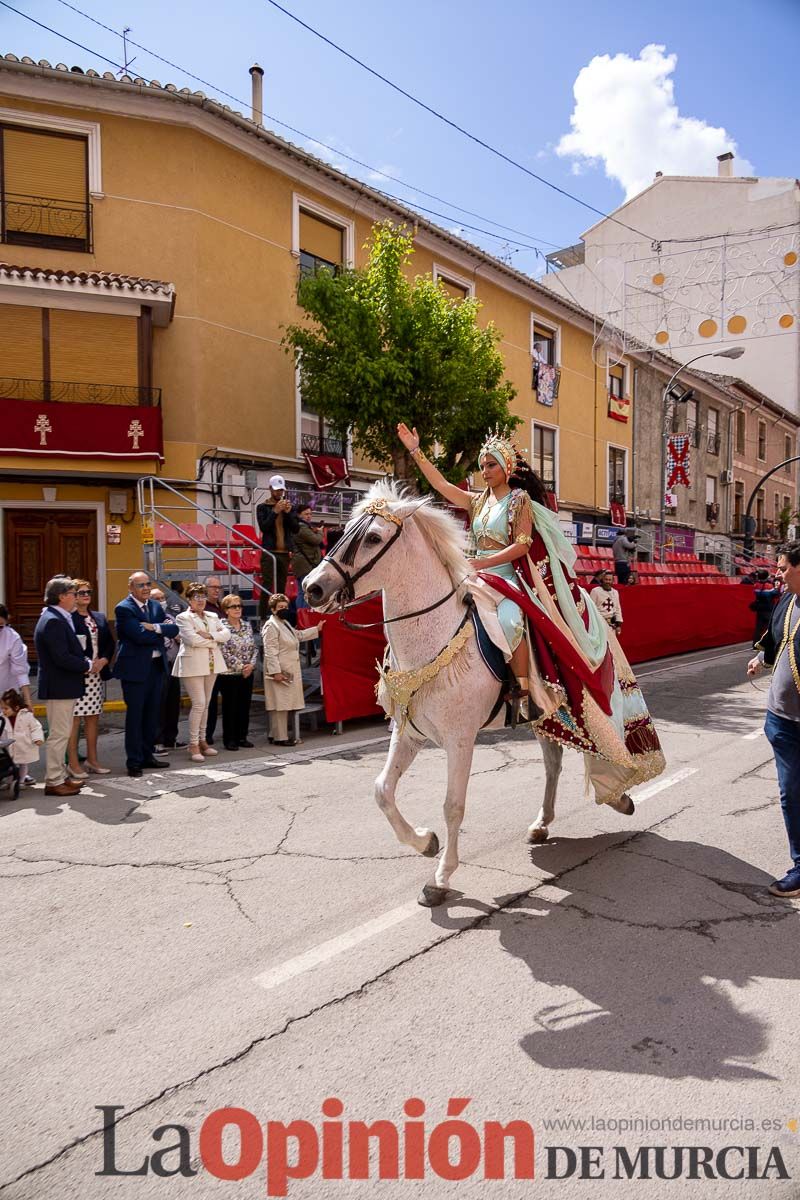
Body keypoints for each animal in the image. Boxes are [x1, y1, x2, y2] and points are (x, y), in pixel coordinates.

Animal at [307, 482, 633, 902]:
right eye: (345, 530)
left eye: (373, 538)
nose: (311, 588)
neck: (433, 637)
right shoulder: (409, 733)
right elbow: (383, 790)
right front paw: (424, 841)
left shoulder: (460, 739)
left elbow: (453, 805)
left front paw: (441, 877)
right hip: (544, 714)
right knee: (553, 763)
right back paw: (542, 823)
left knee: (606, 742)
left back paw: (621, 794)